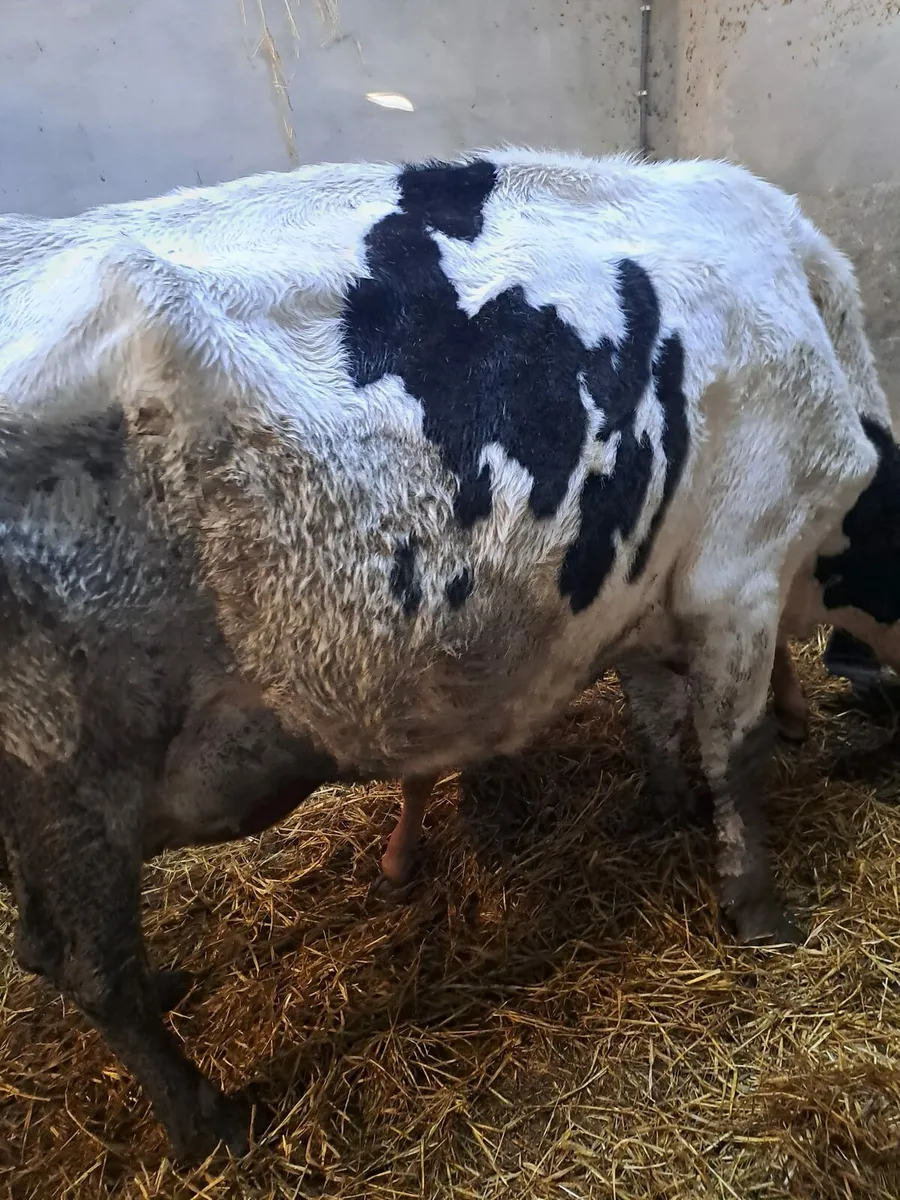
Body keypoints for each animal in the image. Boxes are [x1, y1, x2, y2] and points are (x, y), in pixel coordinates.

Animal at [0, 148, 889, 1159]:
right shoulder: (738, 569)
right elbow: (736, 756)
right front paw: (760, 911)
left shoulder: (645, 580)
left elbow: (656, 713)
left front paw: (666, 808)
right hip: (70, 756)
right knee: (85, 963)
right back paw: (206, 1120)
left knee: (49, 944)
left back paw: (170, 990)